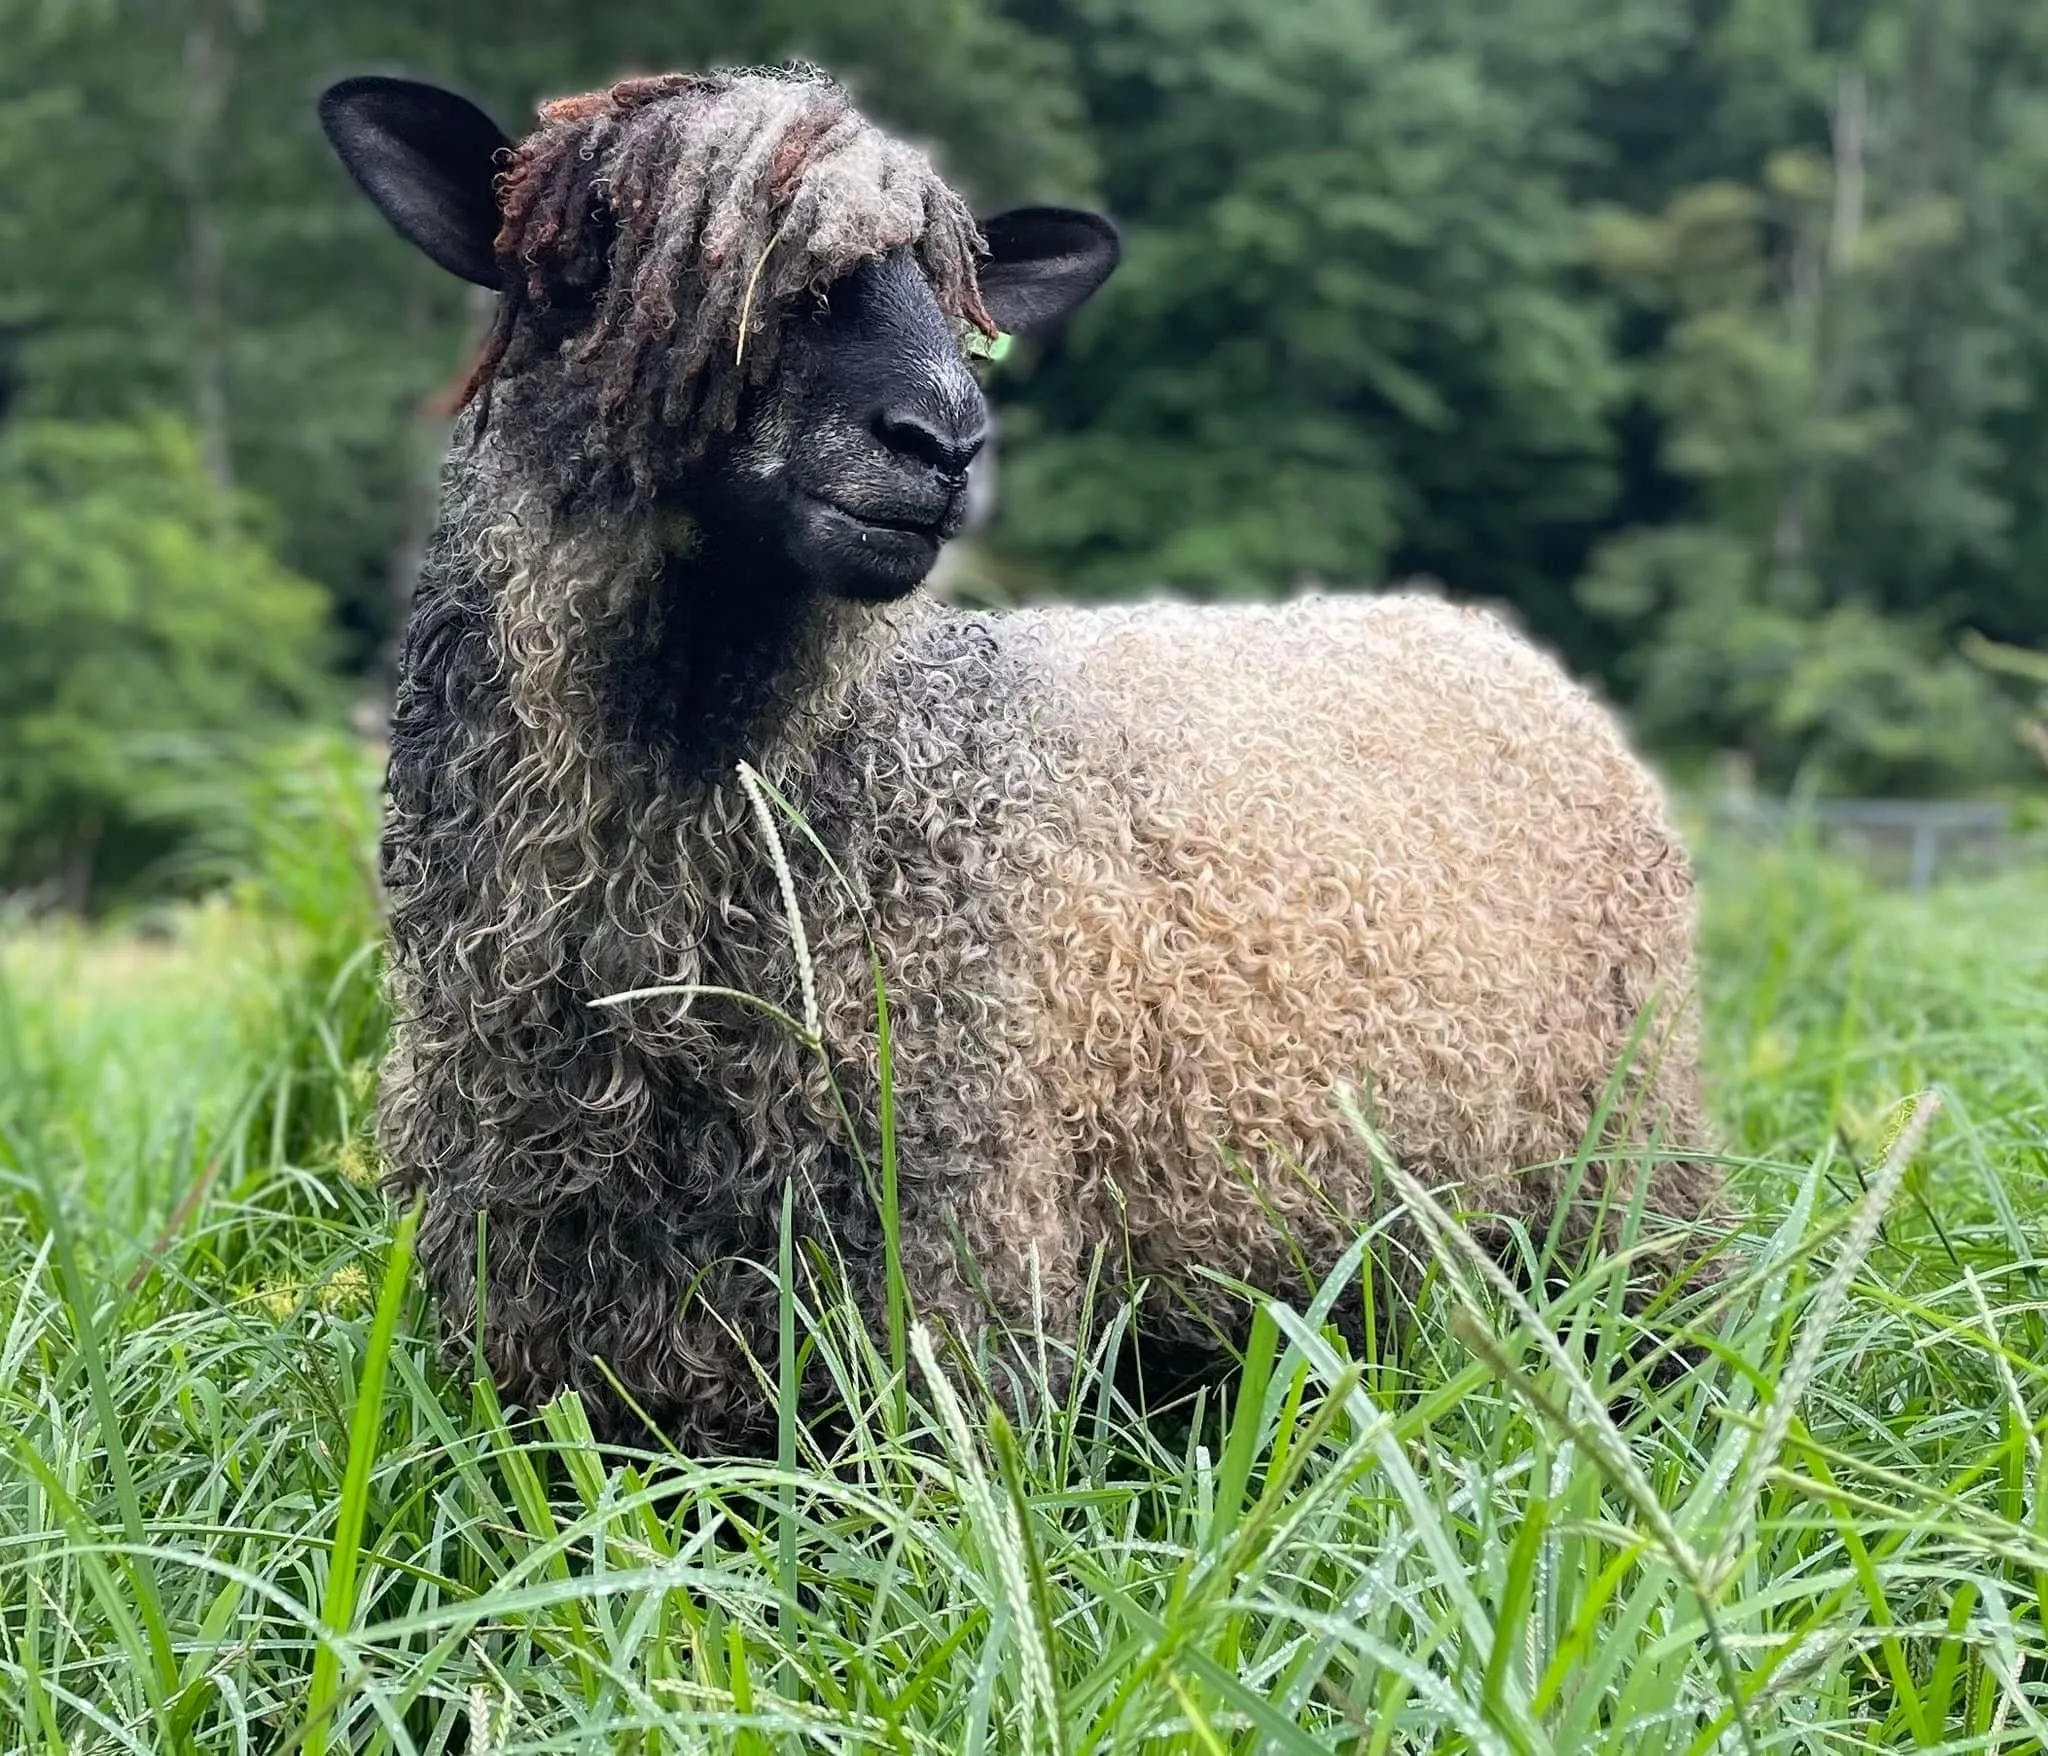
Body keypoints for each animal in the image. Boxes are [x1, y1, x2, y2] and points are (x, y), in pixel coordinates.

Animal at [323, 65, 1728, 1450]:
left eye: (954, 293)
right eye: (602, 250)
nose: (943, 441)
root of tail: (1485, 637)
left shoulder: (951, 1288)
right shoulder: (549, 1337)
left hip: (1627, 1169)